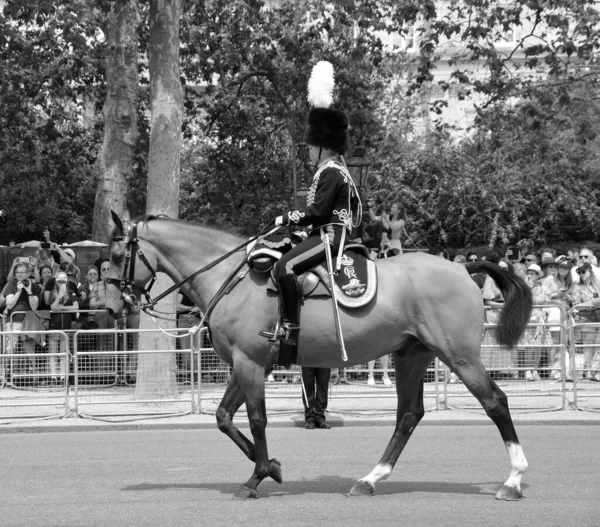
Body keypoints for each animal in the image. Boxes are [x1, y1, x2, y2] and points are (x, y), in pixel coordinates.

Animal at [105, 212, 532, 502]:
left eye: (116, 253)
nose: (113, 306)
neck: (231, 278)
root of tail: (463, 269)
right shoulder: (245, 365)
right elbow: (224, 418)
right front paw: (271, 468)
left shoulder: (250, 364)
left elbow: (256, 420)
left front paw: (257, 476)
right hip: (411, 356)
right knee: (409, 414)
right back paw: (370, 479)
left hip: (459, 355)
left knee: (496, 402)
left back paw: (513, 479)